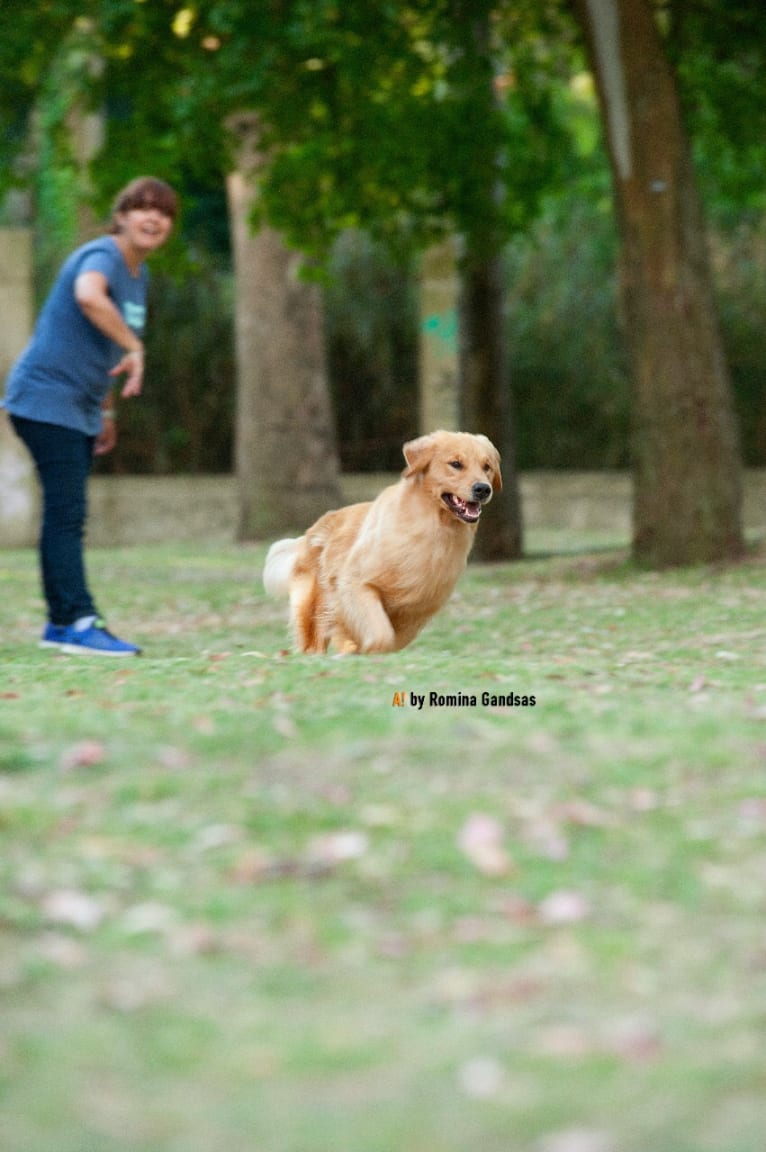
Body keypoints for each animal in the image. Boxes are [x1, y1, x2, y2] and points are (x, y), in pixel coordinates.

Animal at [262, 428, 502, 654]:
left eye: (487, 466)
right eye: (456, 464)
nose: (483, 489)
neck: (433, 528)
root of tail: (312, 529)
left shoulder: (416, 612)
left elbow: (392, 639)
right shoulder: (356, 584)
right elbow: (381, 634)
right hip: (314, 605)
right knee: (313, 642)